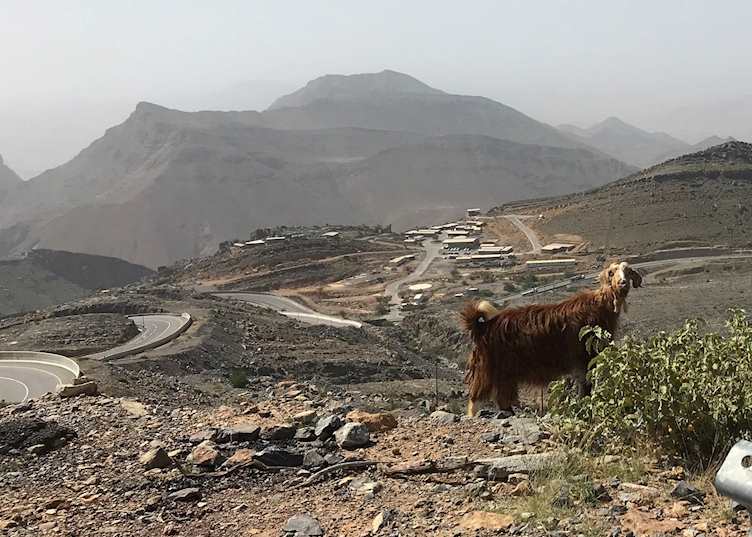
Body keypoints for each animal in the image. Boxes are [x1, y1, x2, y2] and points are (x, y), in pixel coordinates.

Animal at [461, 261, 642, 416]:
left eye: (628, 271)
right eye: (611, 273)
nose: (623, 283)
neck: (599, 306)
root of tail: (483, 326)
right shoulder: (585, 359)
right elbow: (585, 387)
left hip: (504, 374)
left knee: (502, 397)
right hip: (489, 370)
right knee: (478, 400)